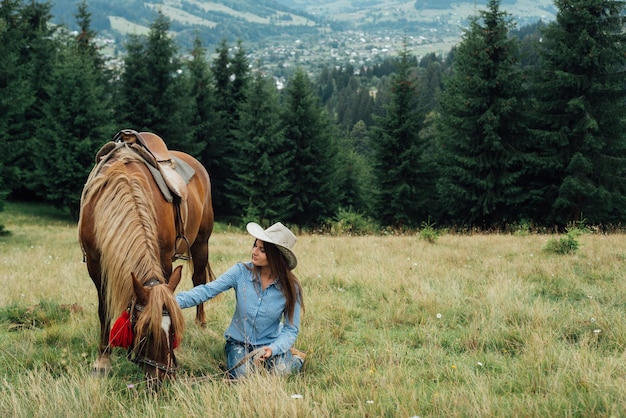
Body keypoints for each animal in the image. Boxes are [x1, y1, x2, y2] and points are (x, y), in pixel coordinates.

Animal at [77, 135, 214, 386]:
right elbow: (104, 310)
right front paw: (103, 360)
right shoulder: (95, 263)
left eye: (172, 331)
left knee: (200, 280)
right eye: (146, 331)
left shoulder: (165, 259)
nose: (163, 377)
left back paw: (201, 325)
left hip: (201, 242)